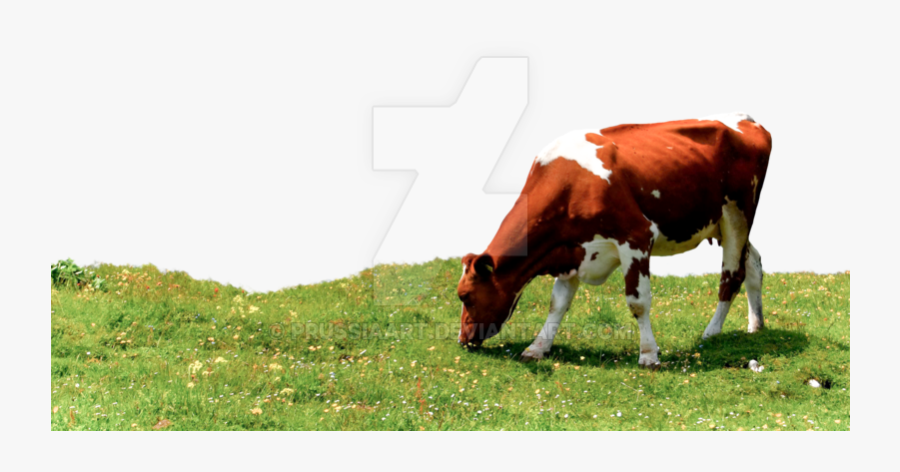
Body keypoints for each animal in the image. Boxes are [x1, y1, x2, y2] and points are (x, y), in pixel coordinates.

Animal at [457, 112, 772, 368]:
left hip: (737, 216)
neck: (571, 183)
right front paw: (537, 348)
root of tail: (745, 118)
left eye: (465, 296)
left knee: (731, 276)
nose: (462, 339)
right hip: (720, 225)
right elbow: (557, 303)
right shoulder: (571, 250)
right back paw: (756, 325)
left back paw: (711, 331)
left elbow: (638, 302)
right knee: (753, 263)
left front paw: (649, 355)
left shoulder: (636, 237)